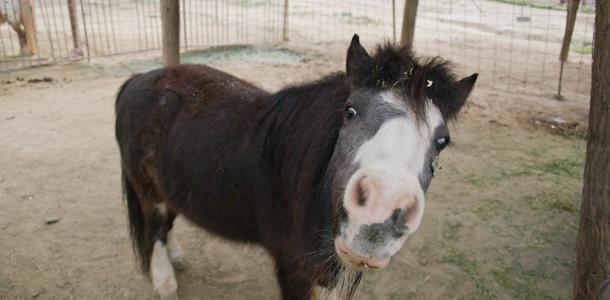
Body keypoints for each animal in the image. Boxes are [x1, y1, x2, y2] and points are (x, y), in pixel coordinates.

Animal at [114, 34, 476, 298]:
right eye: (350, 111)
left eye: (442, 140)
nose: (380, 213)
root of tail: (138, 79)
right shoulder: (294, 271)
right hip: (146, 190)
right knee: (154, 228)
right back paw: (166, 283)